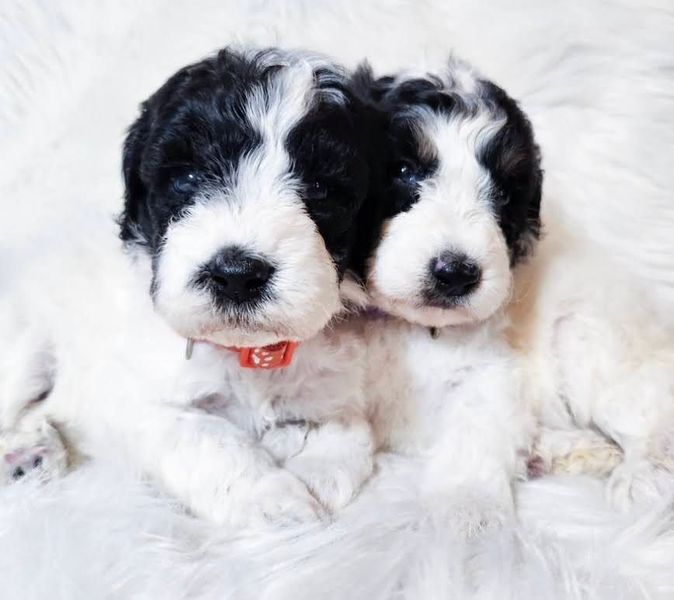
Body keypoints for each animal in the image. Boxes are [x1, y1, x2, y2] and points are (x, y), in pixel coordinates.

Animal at [0, 49, 376, 528]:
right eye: (188, 179)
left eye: (320, 188)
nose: (237, 275)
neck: (247, 352)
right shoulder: (141, 402)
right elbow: (210, 441)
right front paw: (276, 501)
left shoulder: (333, 389)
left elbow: (347, 435)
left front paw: (313, 478)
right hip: (25, 344)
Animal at [356, 57, 540, 536]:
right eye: (403, 171)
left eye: (505, 193)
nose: (456, 274)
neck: (416, 329)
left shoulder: (488, 369)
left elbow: (476, 424)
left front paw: (468, 509)